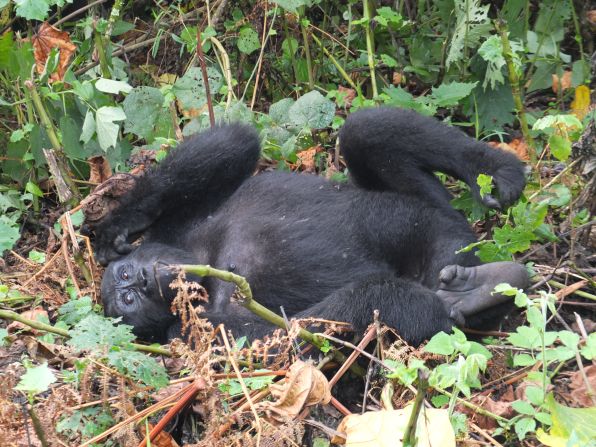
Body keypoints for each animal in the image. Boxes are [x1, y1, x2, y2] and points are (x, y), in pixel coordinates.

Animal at [92, 108, 532, 346]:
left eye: (126, 277)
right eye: (127, 301)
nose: (142, 281)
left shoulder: (175, 226)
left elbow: (231, 146)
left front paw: (117, 223)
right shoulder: (193, 333)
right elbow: (297, 335)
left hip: (437, 216)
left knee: (364, 130)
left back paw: (494, 169)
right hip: (449, 246)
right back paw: (474, 293)